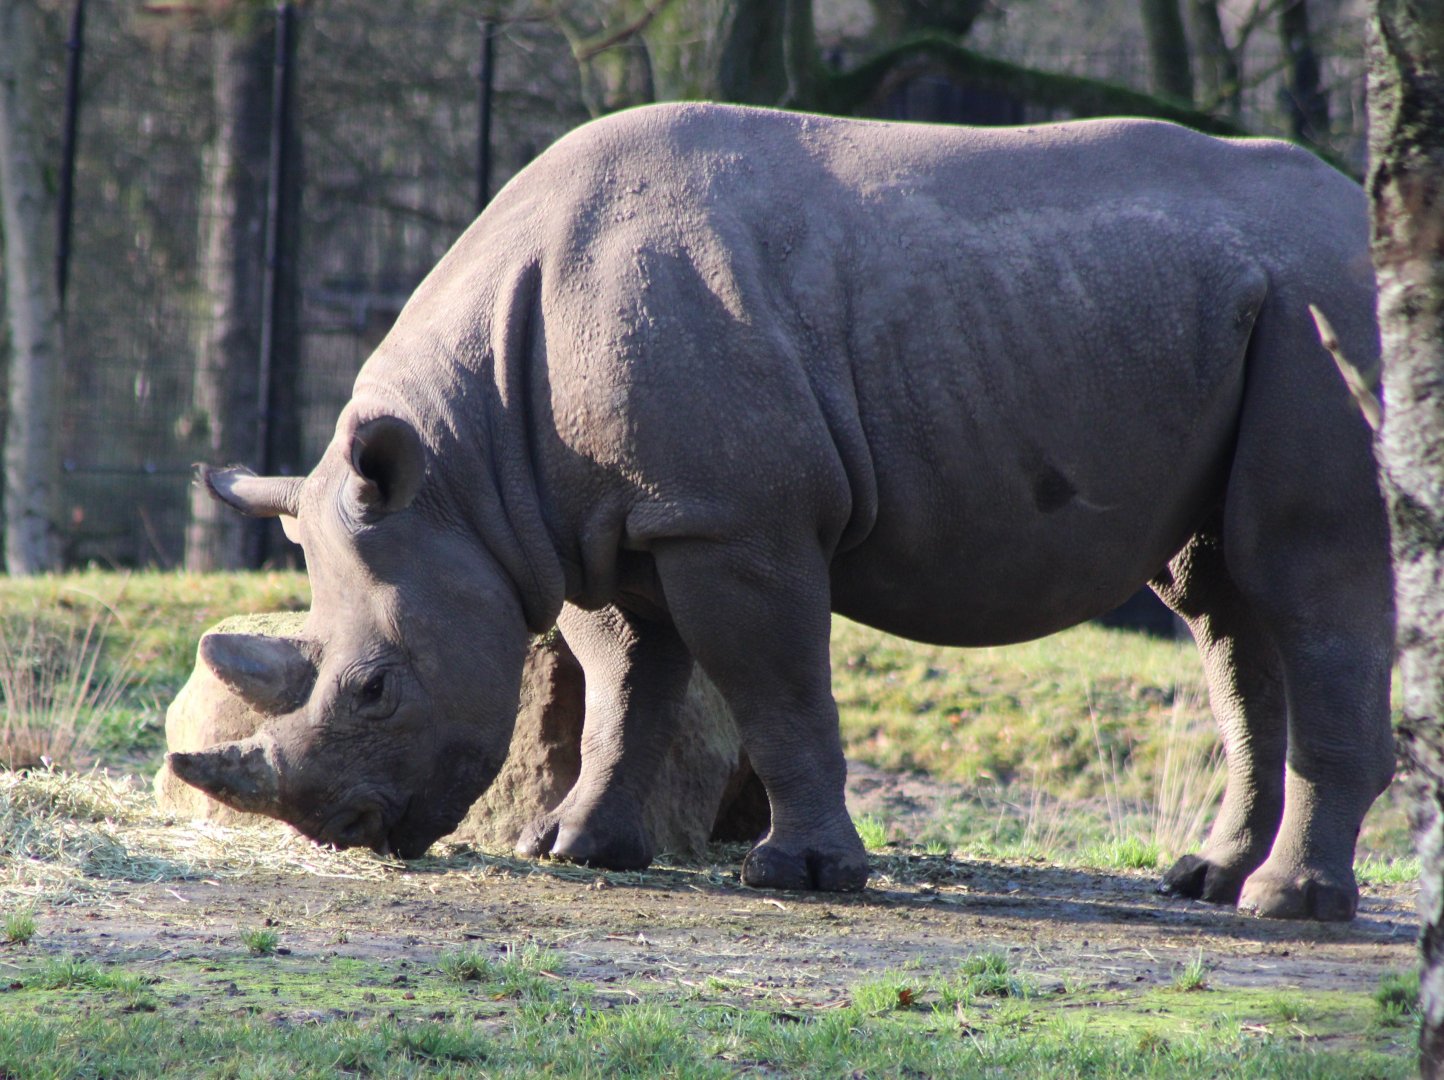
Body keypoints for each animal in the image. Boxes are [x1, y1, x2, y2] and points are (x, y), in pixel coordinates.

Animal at [170, 102, 1394, 922]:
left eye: (373, 689)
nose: (348, 833)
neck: (462, 472)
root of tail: (1360, 215)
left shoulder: (733, 522)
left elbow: (775, 686)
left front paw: (802, 876)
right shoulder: (610, 522)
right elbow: (625, 687)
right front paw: (571, 849)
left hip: (1329, 315)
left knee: (1305, 572)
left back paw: (1285, 905)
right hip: (1236, 316)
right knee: (1220, 601)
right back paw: (1205, 882)